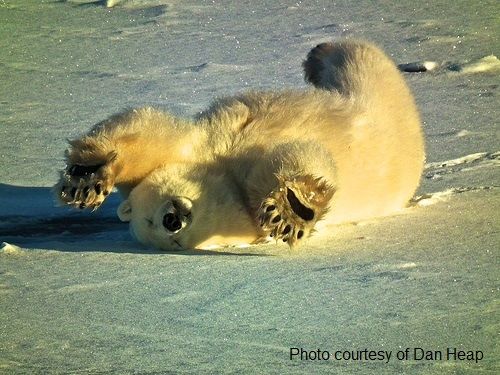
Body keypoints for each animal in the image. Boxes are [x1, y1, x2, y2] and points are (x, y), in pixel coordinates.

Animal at [55, 39, 426, 251]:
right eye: (170, 238)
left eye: (153, 216)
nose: (173, 220)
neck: (223, 176)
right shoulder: (243, 202)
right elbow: (295, 159)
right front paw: (290, 211)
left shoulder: (200, 149)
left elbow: (151, 135)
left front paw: (86, 178)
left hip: (375, 100)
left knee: (354, 56)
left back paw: (318, 53)